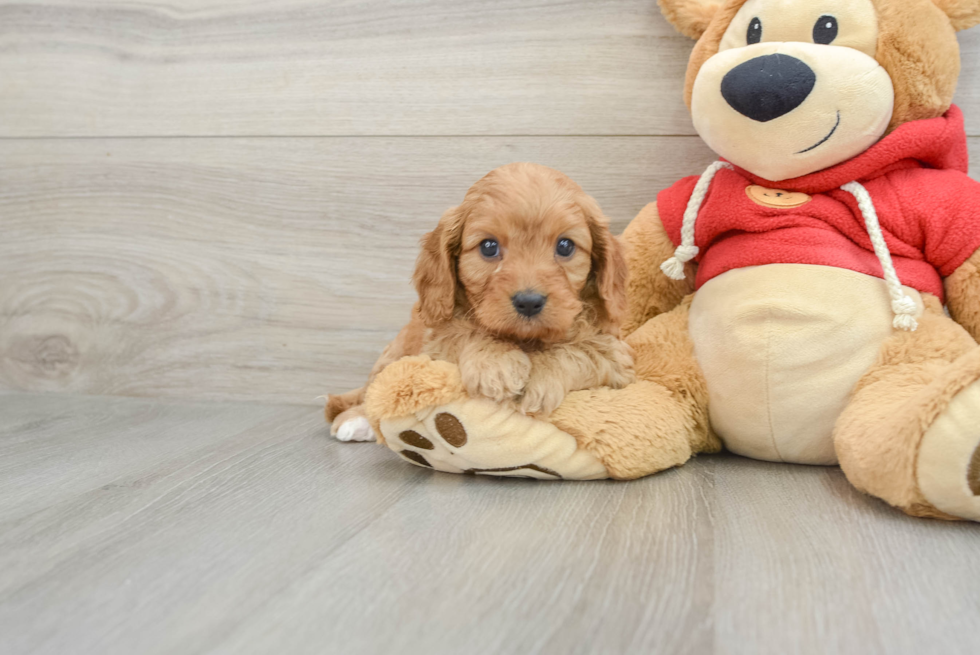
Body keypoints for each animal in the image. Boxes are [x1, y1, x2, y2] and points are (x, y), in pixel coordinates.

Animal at [330, 161, 636, 444]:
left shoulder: (617, 356)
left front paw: (539, 378)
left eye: (565, 246)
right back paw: (356, 420)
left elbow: (580, 351)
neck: (525, 340)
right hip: (394, 352)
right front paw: (497, 363)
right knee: (371, 389)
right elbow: (466, 333)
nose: (529, 302)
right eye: (489, 247)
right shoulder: (437, 343)